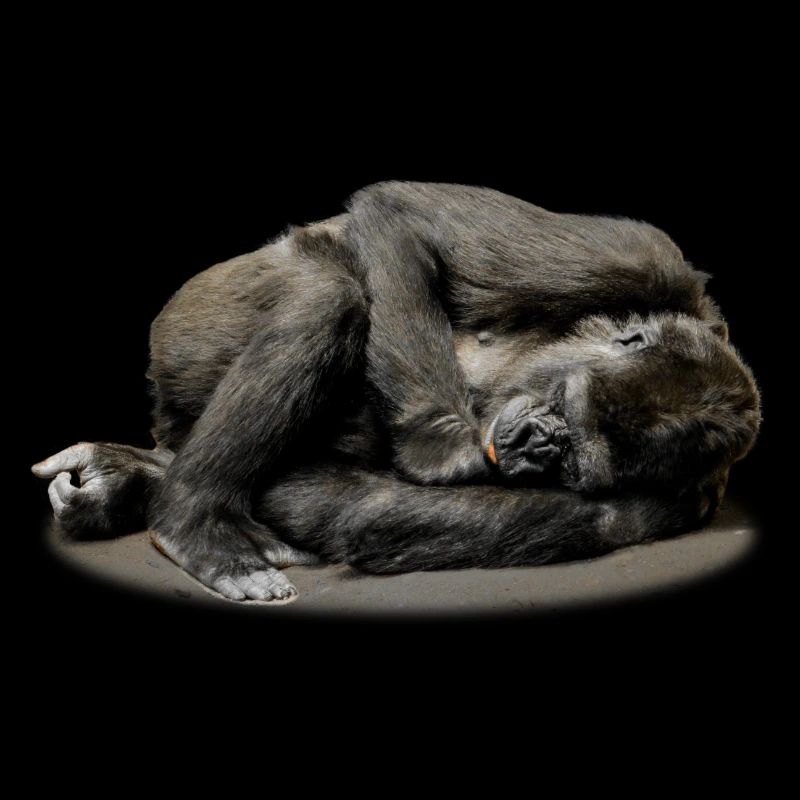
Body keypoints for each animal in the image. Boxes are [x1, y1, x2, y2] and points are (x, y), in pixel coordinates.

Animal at [32, 182, 761, 601]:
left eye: (578, 462)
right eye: (562, 404)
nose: (544, 443)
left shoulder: (679, 504)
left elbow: (366, 513)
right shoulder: (645, 257)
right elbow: (403, 217)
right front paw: (448, 450)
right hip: (186, 324)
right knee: (328, 293)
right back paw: (191, 522)